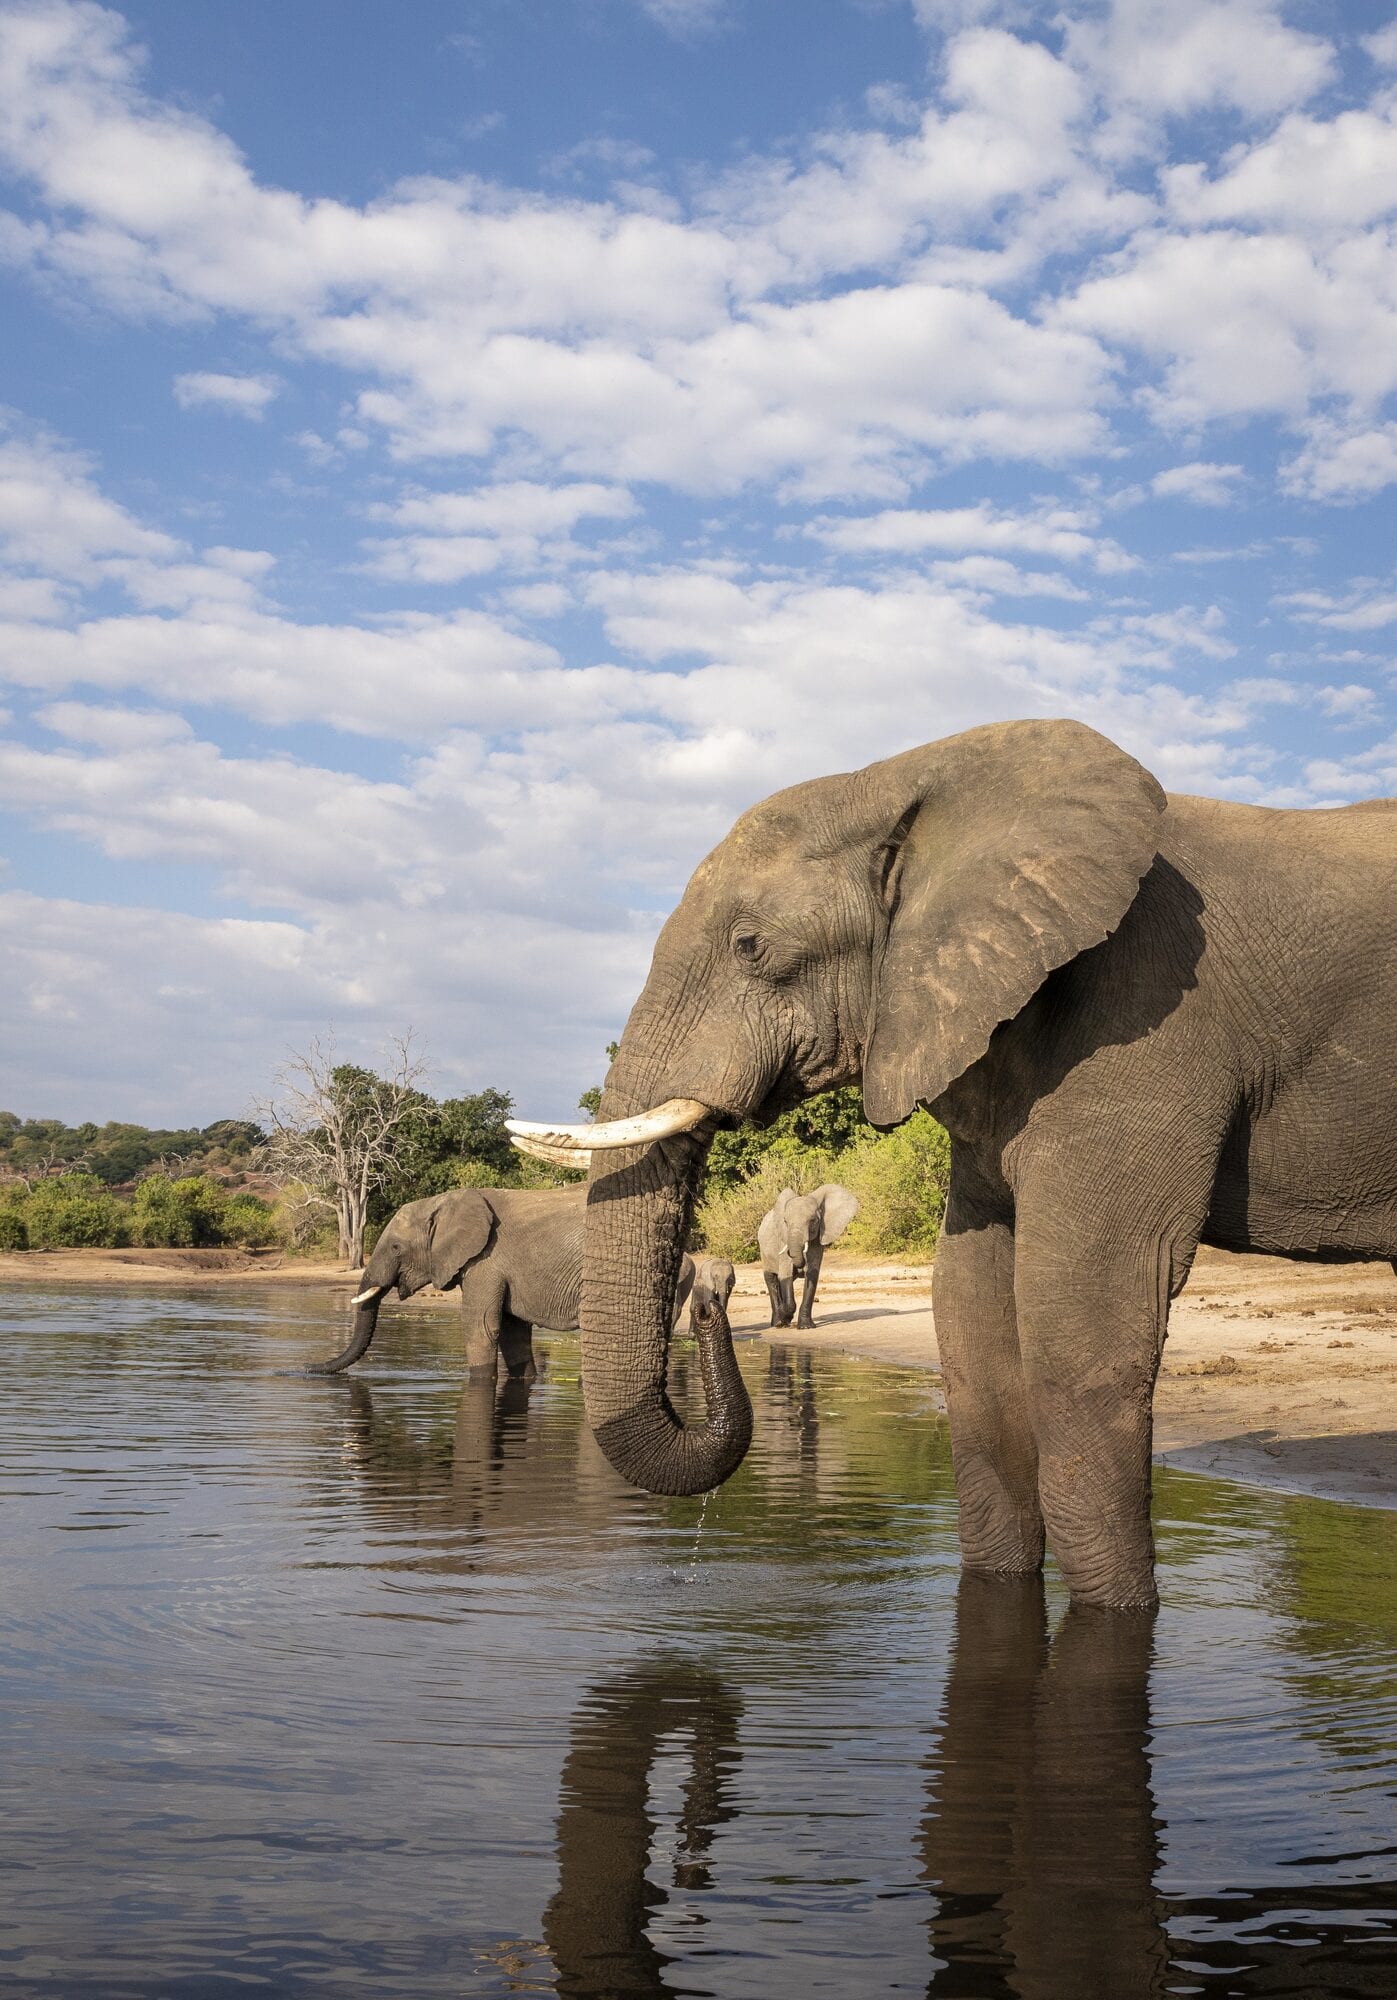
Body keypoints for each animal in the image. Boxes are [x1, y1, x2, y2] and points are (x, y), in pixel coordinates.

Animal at [307, 1184, 696, 1380]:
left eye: (395, 1247)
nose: (308, 1369)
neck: (445, 1201)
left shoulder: (486, 1260)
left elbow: (481, 1326)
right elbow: (512, 1331)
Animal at [757, 1183, 858, 1328]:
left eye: (813, 1220)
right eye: (785, 1221)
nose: (800, 1265)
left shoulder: (818, 1240)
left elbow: (812, 1276)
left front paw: (806, 1326)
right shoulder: (783, 1240)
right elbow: (785, 1275)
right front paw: (784, 1313)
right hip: (764, 1252)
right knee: (771, 1279)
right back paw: (778, 1323)